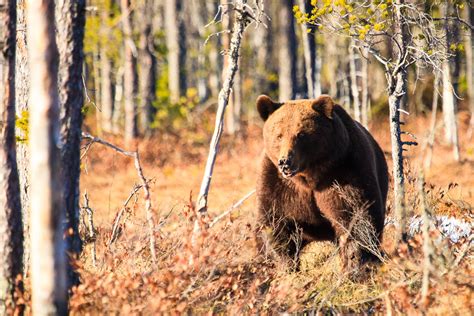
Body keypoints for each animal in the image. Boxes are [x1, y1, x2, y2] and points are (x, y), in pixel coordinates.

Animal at [256, 94, 388, 272]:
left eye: (301, 134)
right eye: (279, 134)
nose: (285, 162)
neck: (308, 177)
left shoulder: (345, 170)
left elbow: (356, 215)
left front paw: (353, 263)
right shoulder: (279, 184)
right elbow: (275, 222)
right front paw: (286, 265)